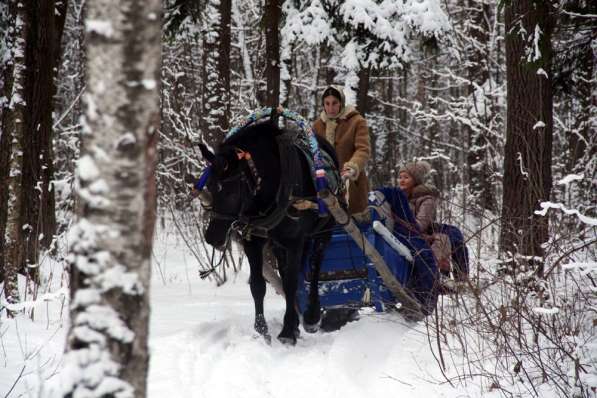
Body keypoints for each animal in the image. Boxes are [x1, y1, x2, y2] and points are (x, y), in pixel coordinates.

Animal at [196, 119, 336, 344]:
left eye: (230, 192)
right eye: (208, 185)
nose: (212, 237)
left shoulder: (294, 241)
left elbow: (291, 283)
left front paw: (287, 332)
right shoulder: (253, 240)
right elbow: (258, 285)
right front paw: (262, 330)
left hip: (323, 230)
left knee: (315, 266)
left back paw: (311, 317)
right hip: (281, 243)